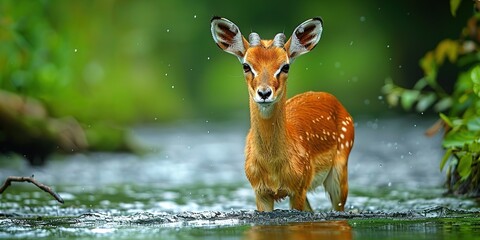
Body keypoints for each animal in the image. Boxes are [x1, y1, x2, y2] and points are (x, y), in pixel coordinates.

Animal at [210, 16, 352, 211]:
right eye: (246, 66)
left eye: (285, 66)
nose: (264, 93)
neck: (273, 168)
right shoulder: (260, 191)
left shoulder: (299, 186)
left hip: (340, 169)